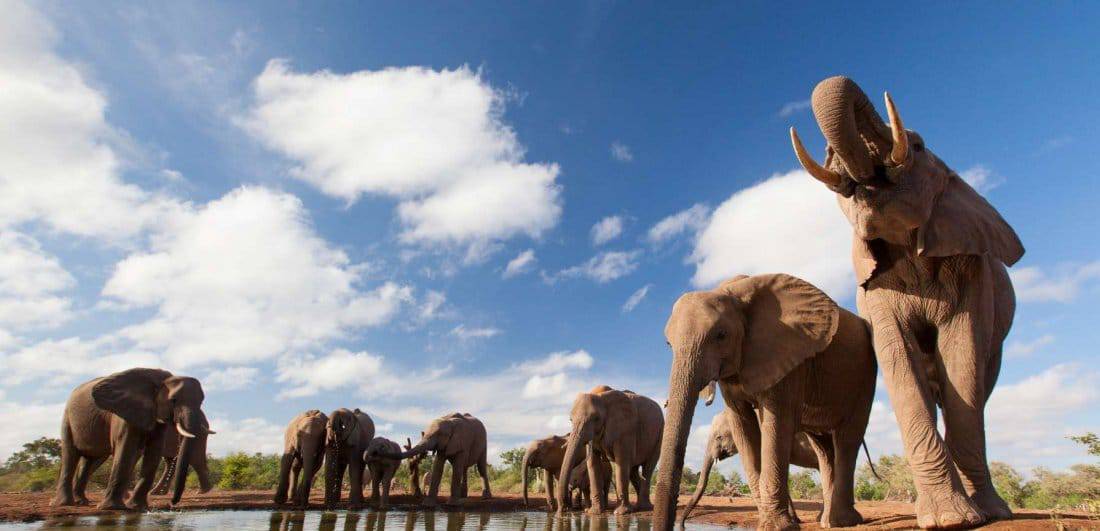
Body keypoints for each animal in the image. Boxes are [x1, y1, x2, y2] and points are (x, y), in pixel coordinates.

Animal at [51, 368, 212, 510]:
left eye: (202, 402)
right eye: (173, 400)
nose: (172, 503)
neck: (162, 380)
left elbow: (153, 451)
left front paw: (134, 506)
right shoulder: (123, 413)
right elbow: (126, 449)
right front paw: (114, 507)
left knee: (89, 459)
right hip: (68, 418)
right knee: (71, 455)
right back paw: (66, 503)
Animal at [556, 385, 663, 516]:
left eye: (596, 418)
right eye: (571, 420)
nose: (563, 510)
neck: (601, 397)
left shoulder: (626, 428)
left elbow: (622, 462)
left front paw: (620, 513)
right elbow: (593, 462)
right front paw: (593, 512)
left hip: (660, 434)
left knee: (647, 468)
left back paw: (644, 507)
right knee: (633, 472)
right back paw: (638, 507)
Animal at [788, 76, 1023, 529]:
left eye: (917, 145)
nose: (834, 157)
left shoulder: (973, 269)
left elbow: (962, 352)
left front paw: (967, 518)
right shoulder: (873, 291)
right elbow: (898, 356)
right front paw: (947, 518)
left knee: (977, 386)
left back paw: (991, 508)